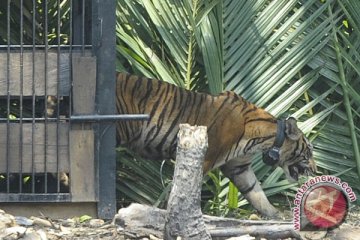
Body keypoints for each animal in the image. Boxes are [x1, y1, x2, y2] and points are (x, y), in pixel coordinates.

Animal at [116, 72, 316, 218]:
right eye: (309, 152)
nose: (315, 170)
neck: (264, 141)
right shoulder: (206, 158)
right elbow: (188, 188)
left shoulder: (239, 167)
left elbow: (256, 192)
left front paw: (276, 215)